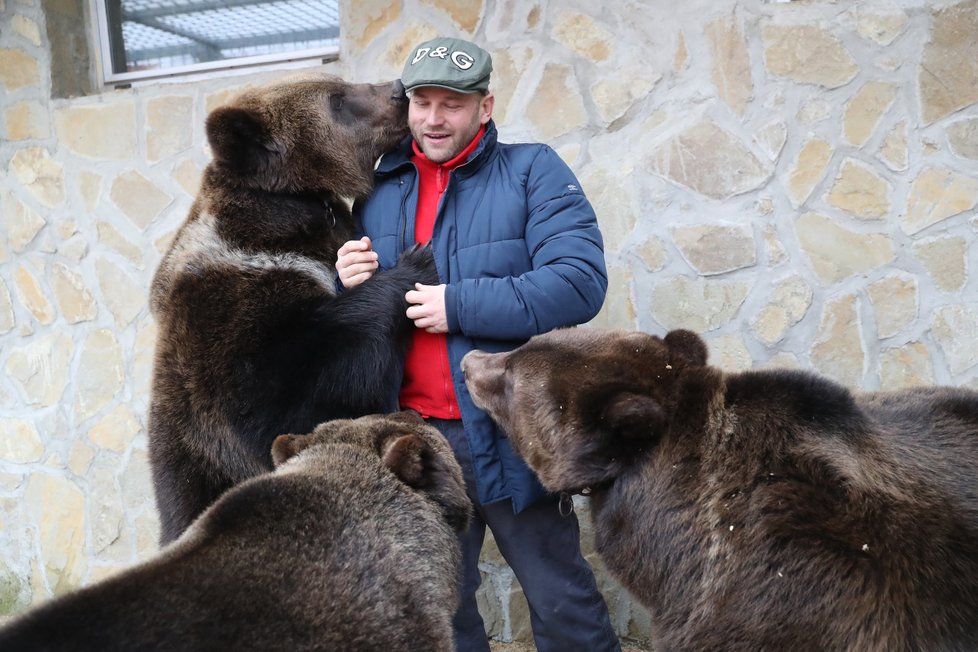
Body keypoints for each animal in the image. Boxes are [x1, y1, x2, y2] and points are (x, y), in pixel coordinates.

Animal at [147, 74, 436, 544]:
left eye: (341, 85)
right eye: (337, 99)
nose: (398, 89)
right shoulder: (230, 323)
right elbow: (298, 394)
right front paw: (415, 261)